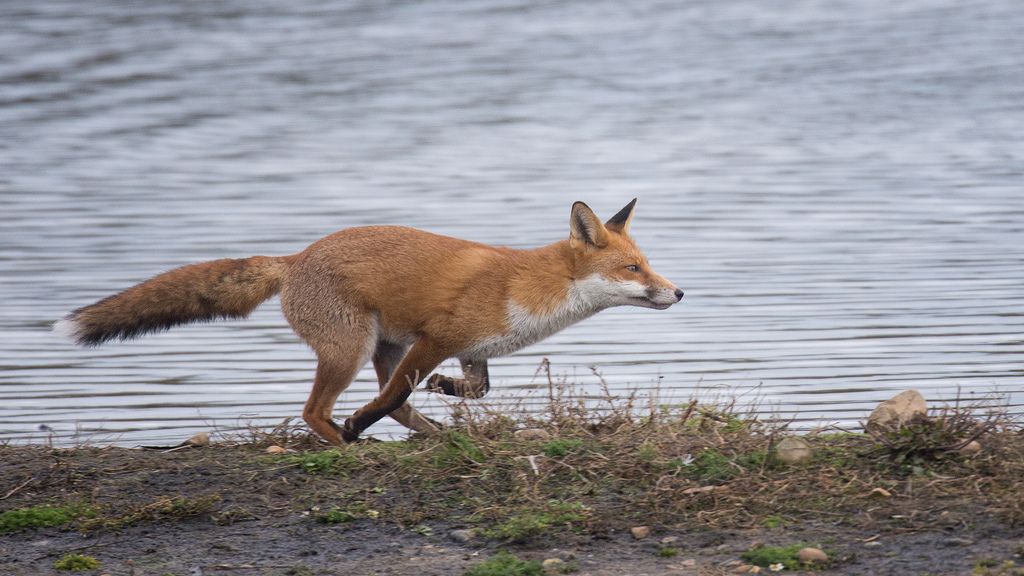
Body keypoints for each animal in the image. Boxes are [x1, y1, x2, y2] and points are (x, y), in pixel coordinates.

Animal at [54, 199, 679, 440]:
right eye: (632, 268)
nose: (677, 292)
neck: (528, 289)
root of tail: (295, 258)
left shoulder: (470, 349)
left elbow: (473, 390)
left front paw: (445, 391)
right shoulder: (436, 337)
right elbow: (395, 396)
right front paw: (359, 423)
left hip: (381, 346)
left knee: (394, 408)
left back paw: (432, 435)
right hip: (351, 349)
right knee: (316, 410)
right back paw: (345, 440)